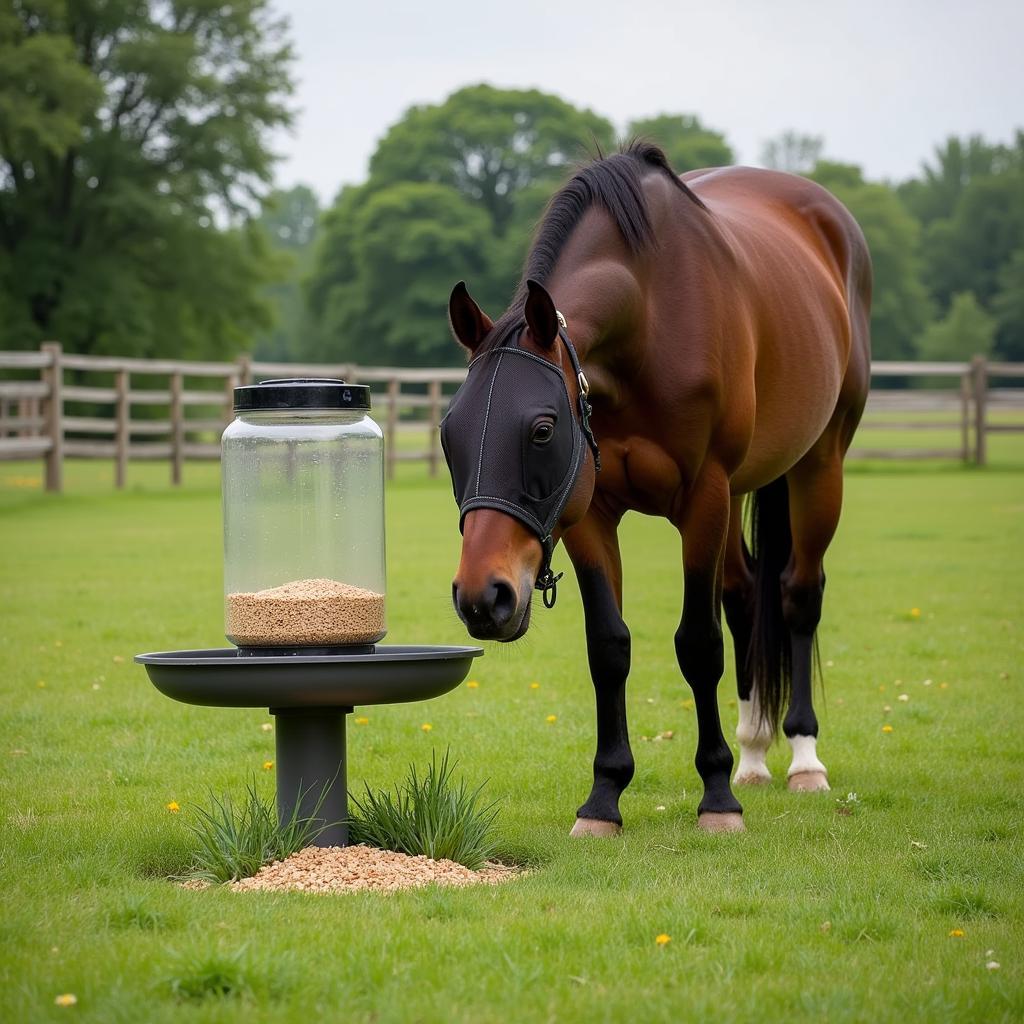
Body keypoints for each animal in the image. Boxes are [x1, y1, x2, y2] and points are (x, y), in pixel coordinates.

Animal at [440, 142, 872, 831]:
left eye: (542, 429)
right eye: (449, 433)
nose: (484, 598)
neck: (648, 312)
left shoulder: (704, 499)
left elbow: (698, 644)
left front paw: (716, 798)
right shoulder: (590, 512)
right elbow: (609, 646)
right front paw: (604, 797)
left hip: (818, 466)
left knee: (799, 596)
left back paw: (803, 759)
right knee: (745, 597)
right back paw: (753, 753)